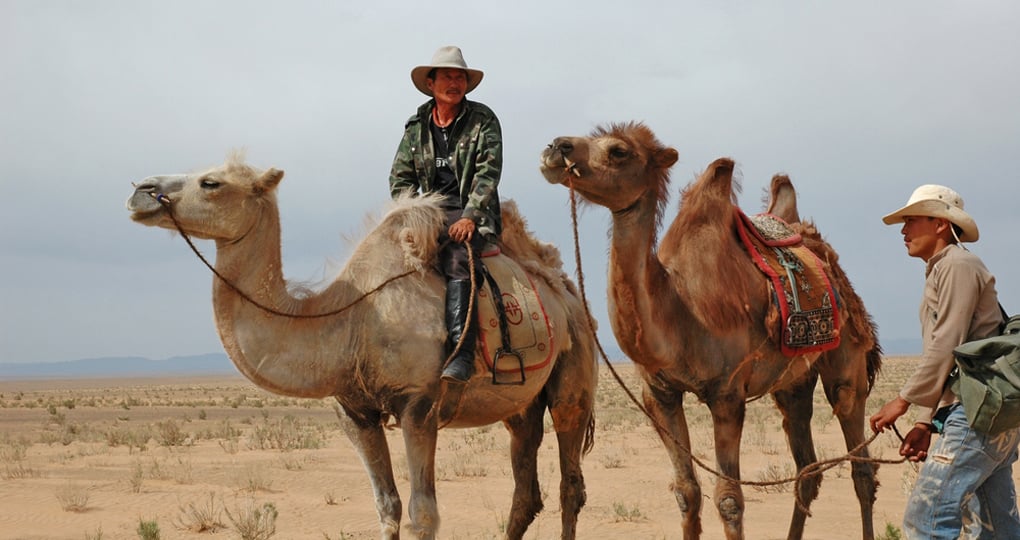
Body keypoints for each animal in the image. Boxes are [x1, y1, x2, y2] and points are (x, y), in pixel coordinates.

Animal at [125, 156, 597, 540]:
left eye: (211, 182)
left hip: (574, 377)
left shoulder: (419, 405)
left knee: (569, 484)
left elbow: (423, 514)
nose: (140, 189)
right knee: (525, 486)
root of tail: (568, 293)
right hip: (520, 405)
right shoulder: (354, 410)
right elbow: (387, 506)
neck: (353, 320)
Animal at [540, 123, 882, 540]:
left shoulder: (727, 395)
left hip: (846, 363)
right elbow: (687, 492)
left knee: (860, 463)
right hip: (793, 382)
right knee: (807, 469)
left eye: (619, 151)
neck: (682, 313)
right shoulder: (660, 394)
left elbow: (729, 500)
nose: (557, 146)